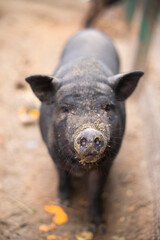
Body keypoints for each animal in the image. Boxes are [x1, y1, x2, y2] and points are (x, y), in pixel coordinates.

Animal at [26, 29, 144, 233]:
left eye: (107, 107)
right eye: (65, 108)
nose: (89, 133)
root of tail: (92, 31)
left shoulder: (108, 161)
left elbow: (96, 190)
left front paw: (98, 229)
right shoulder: (53, 152)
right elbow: (62, 176)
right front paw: (63, 203)